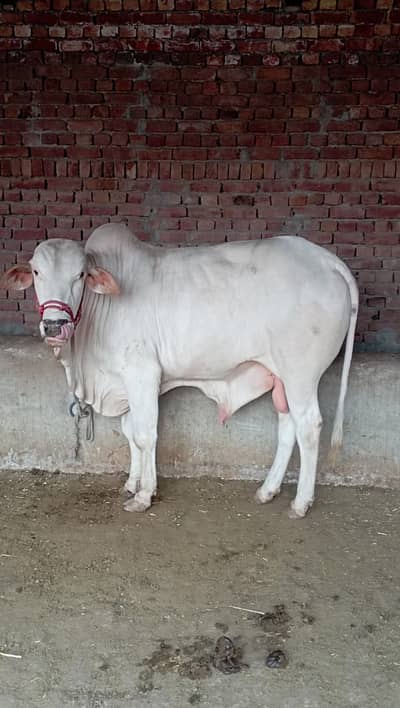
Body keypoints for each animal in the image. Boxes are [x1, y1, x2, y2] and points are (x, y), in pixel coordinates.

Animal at [1, 223, 358, 518]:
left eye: (79, 275)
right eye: (36, 272)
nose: (54, 325)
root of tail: (327, 260)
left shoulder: (142, 372)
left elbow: (145, 434)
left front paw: (144, 494)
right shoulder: (124, 381)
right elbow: (130, 430)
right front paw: (132, 482)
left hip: (302, 373)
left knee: (309, 426)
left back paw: (300, 503)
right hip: (281, 376)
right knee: (287, 426)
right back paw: (267, 490)